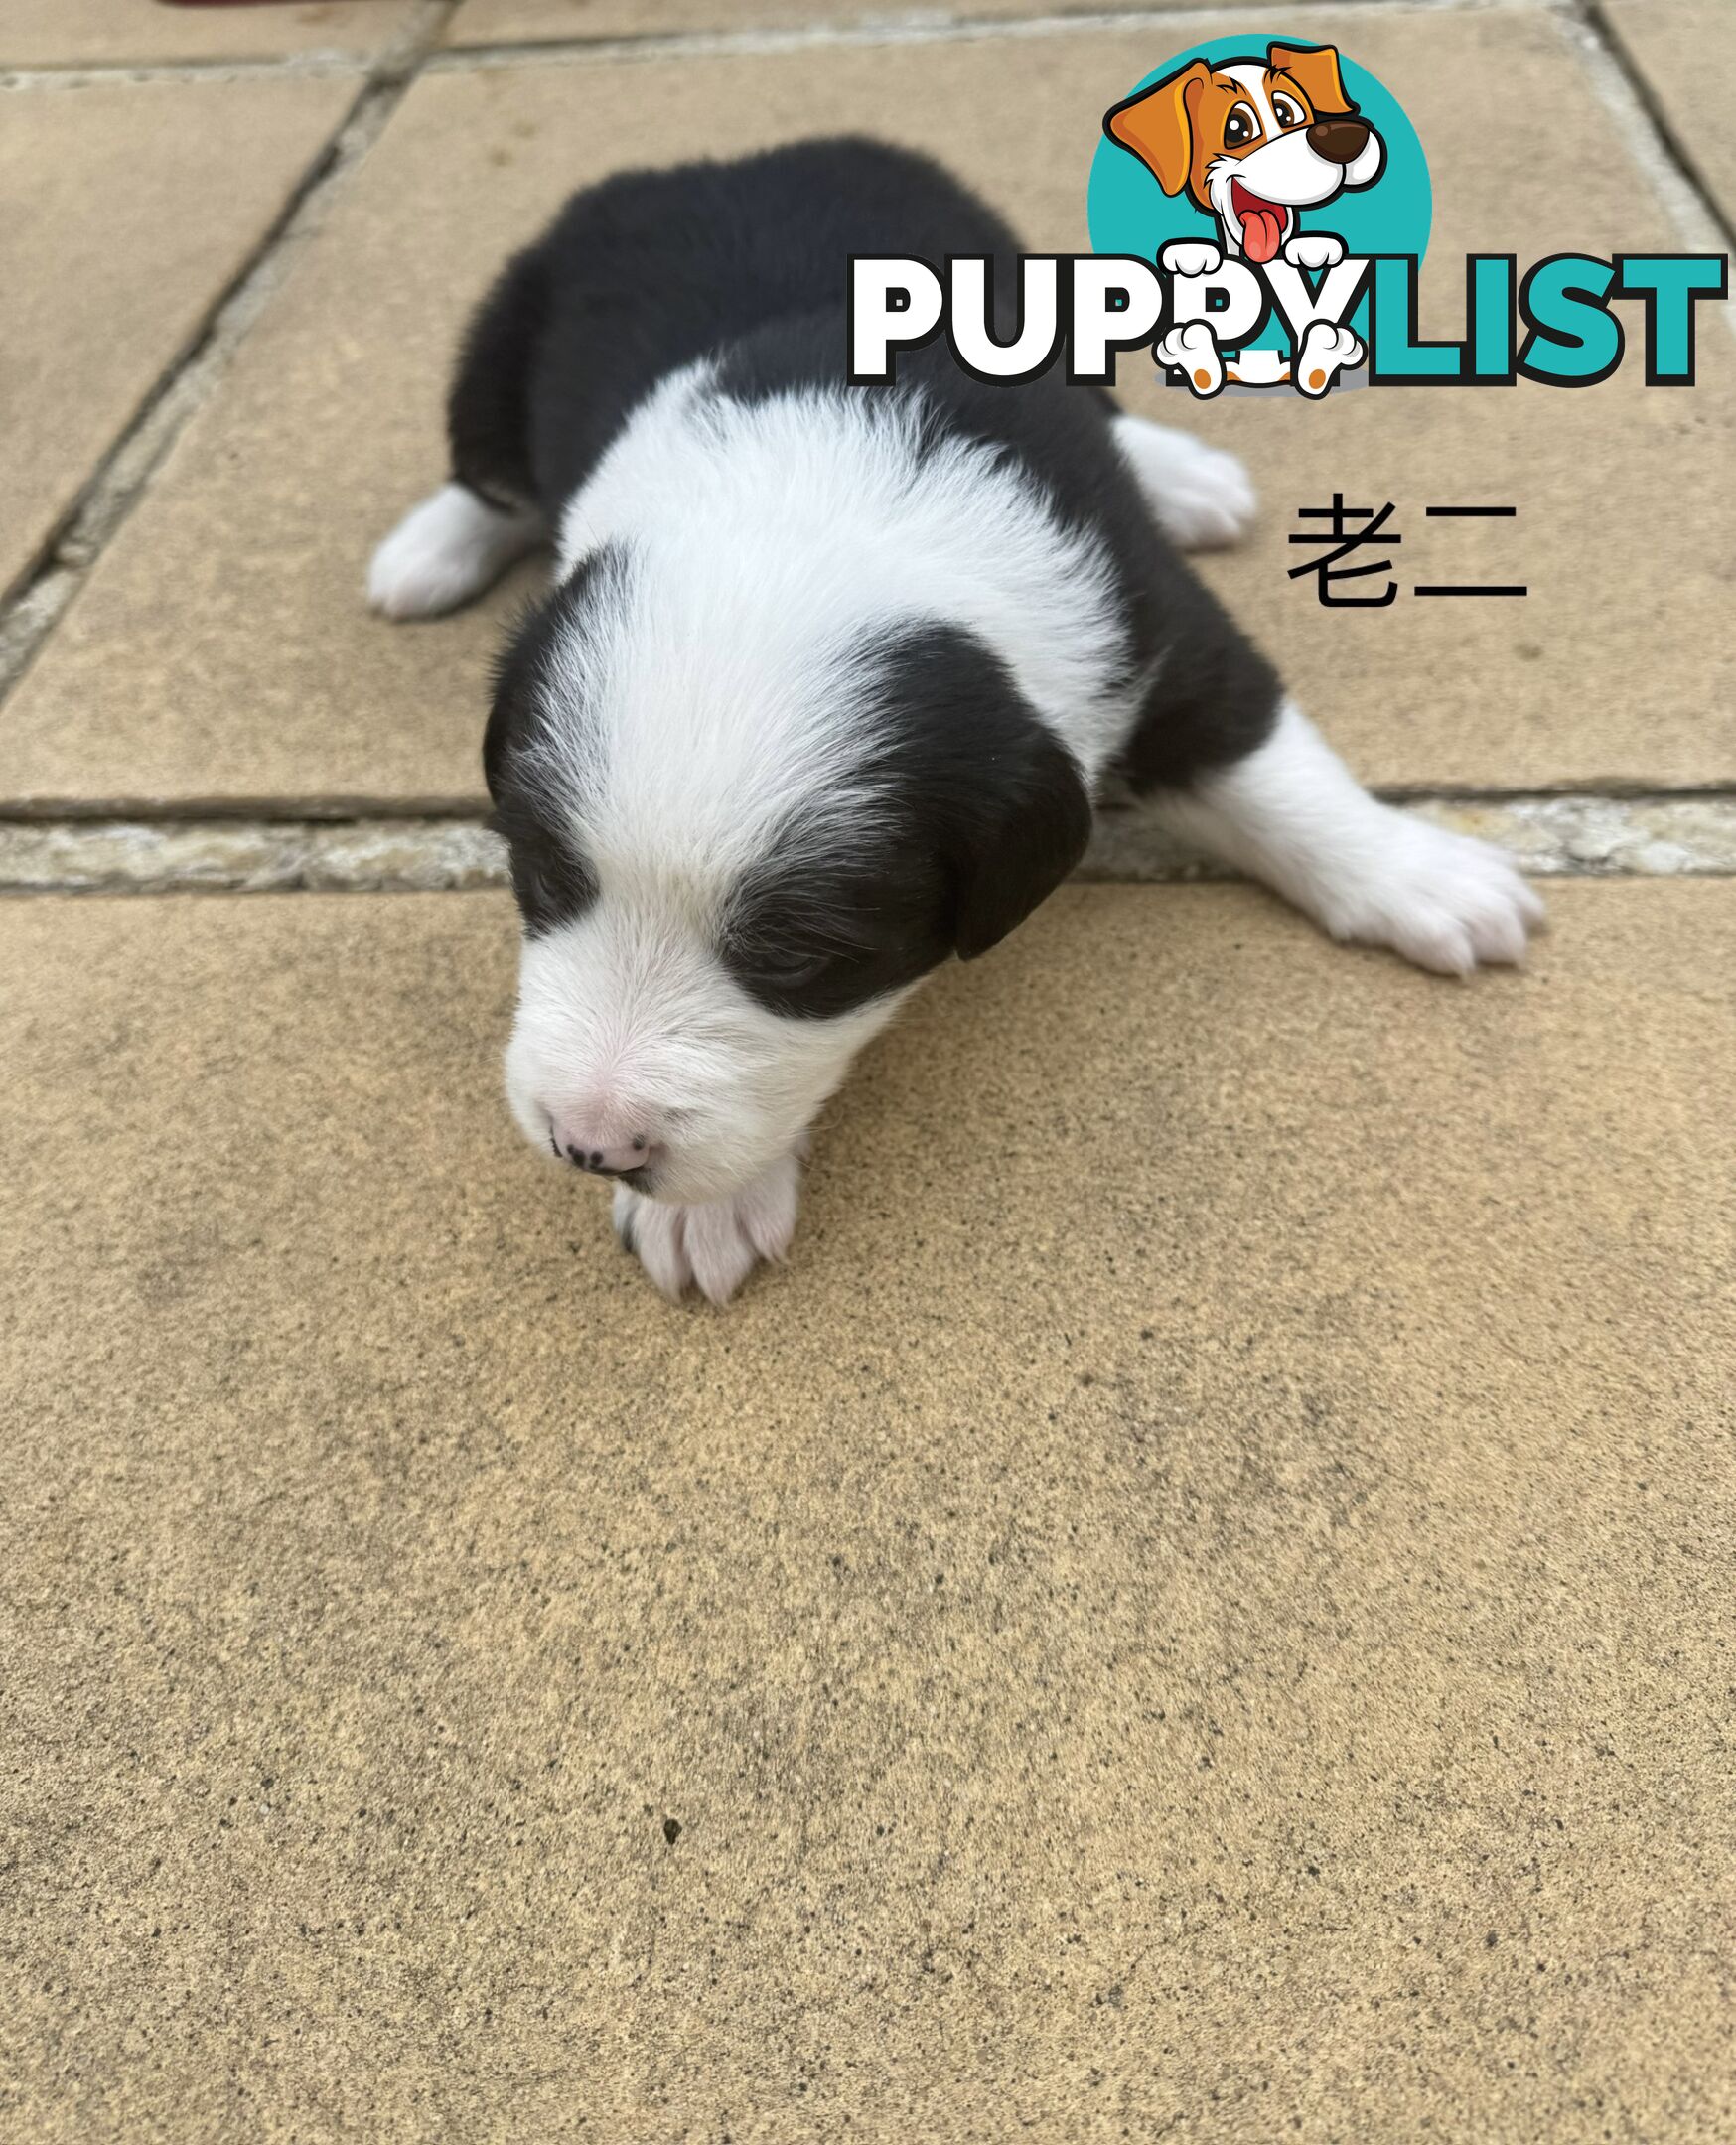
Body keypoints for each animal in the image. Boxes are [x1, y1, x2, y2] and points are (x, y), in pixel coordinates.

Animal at [372, 142, 1536, 1304]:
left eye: (805, 957)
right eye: (541, 877)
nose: (591, 1145)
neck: (828, 509)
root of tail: (731, 157)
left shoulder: (1149, 616)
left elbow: (1262, 756)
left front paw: (1417, 876)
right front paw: (705, 1208)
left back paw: (1176, 473)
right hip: (495, 352)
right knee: (489, 477)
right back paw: (425, 553)